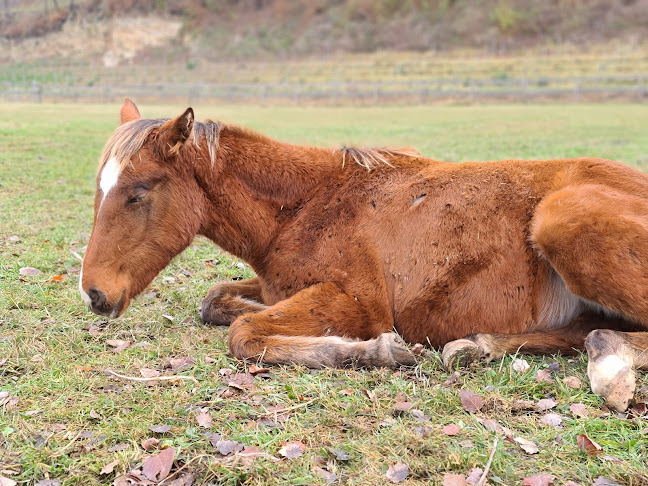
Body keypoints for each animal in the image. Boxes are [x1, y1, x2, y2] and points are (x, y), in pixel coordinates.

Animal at [79, 100, 648, 412]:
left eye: (138, 193)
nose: (95, 293)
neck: (308, 204)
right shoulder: (278, 283)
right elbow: (217, 299)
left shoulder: (360, 302)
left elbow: (244, 336)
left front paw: (375, 351)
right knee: (581, 328)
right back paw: (476, 347)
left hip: (561, 222)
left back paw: (610, 370)